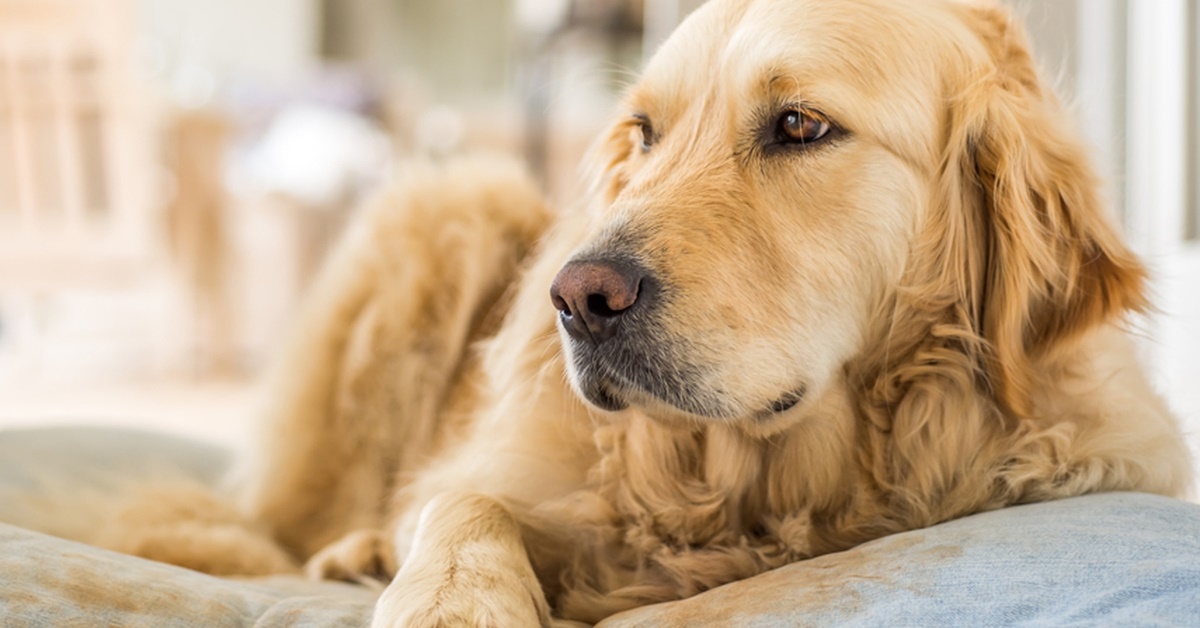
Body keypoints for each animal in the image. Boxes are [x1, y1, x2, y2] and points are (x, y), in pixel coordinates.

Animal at [63, 0, 1190, 624]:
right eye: (644, 132)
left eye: (800, 125)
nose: (576, 294)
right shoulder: (525, 472)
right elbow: (462, 502)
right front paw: (451, 602)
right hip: (454, 205)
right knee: (286, 523)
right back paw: (359, 548)